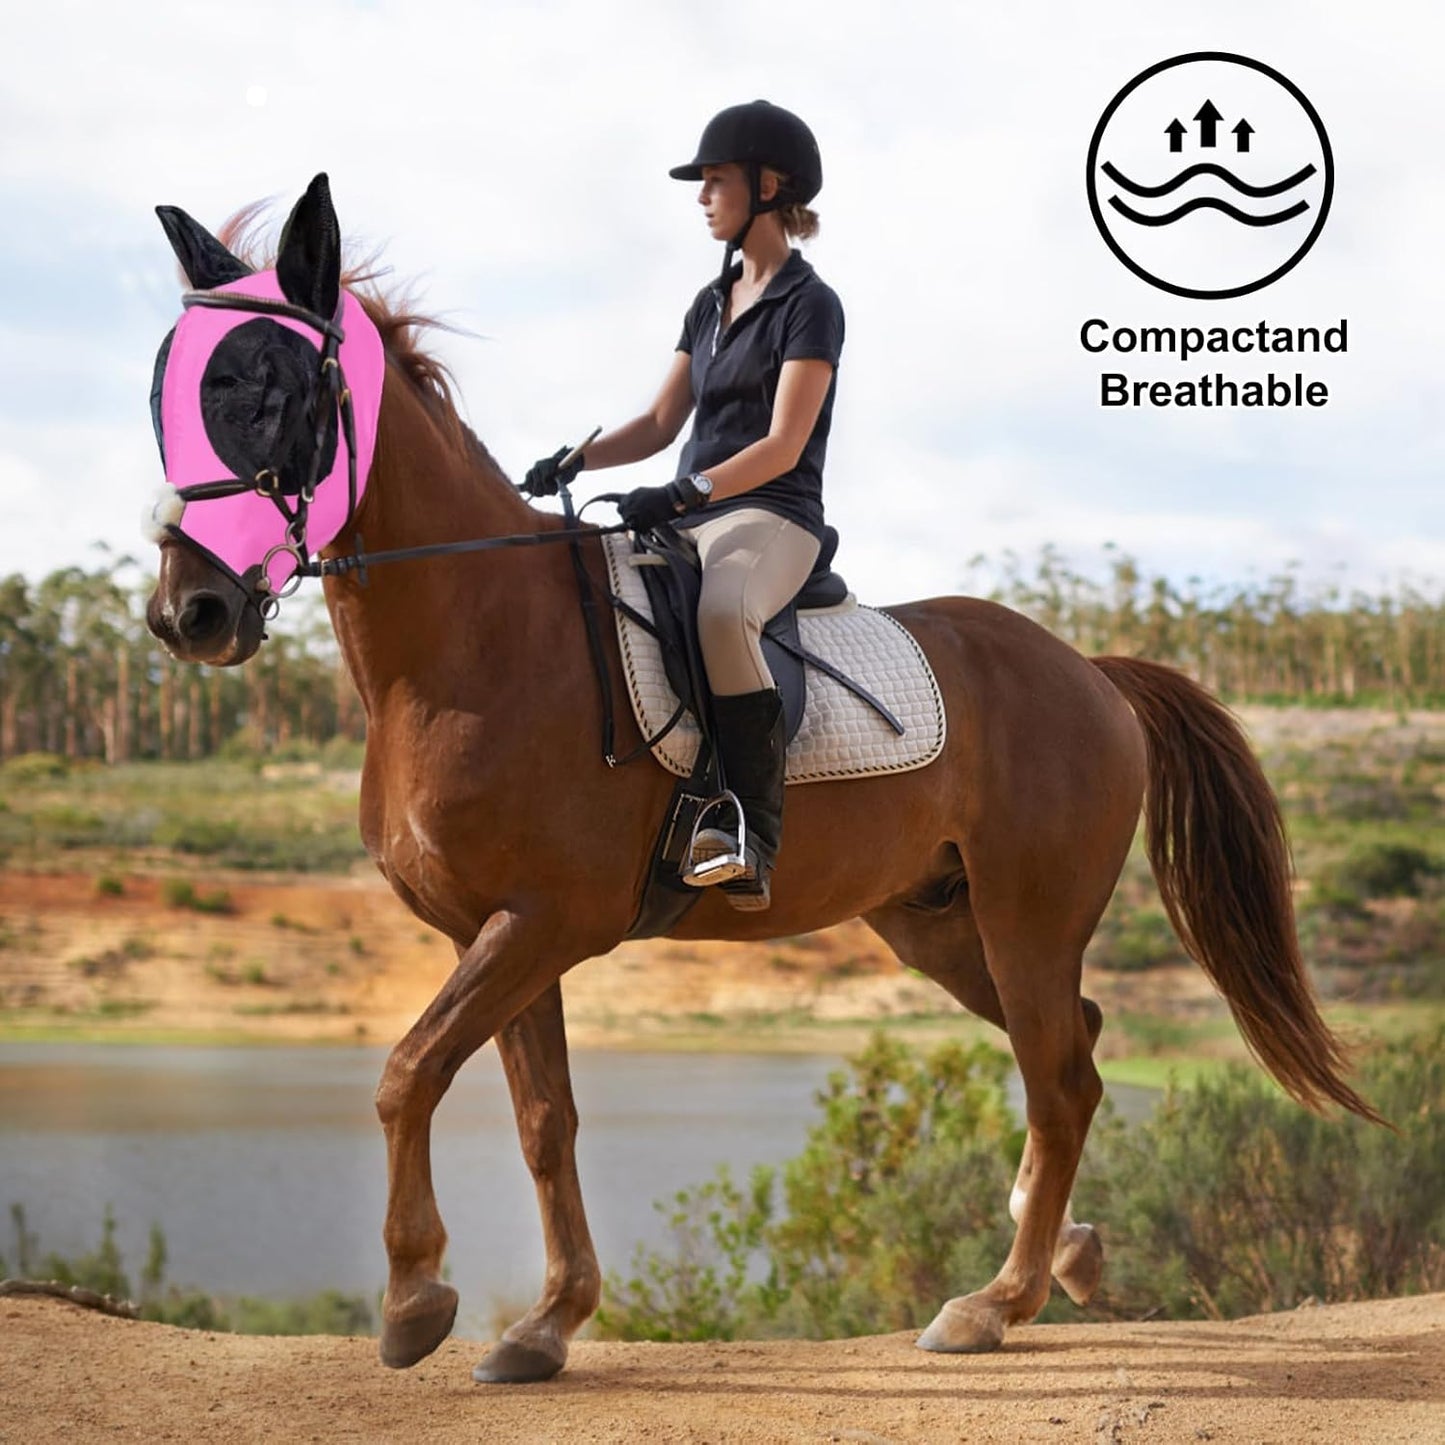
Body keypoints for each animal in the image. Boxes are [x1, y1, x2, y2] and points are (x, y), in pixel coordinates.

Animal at [143, 174, 1381, 1384]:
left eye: (273, 386)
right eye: (169, 389)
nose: (187, 612)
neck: (473, 639)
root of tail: (1090, 670)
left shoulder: (544, 920)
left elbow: (406, 1073)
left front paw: (413, 1301)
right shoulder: (488, 931)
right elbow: (543, 1117)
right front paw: (546, 1322)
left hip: (1024, 915)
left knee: (1059, 1071)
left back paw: (992, 1302)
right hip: (934, 922)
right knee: (1066, 1043)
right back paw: (1061, 1248)